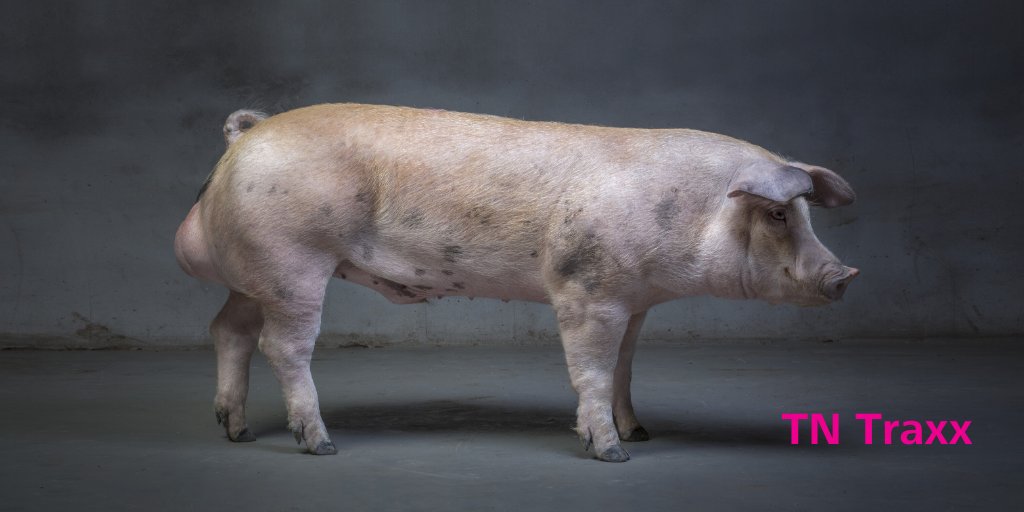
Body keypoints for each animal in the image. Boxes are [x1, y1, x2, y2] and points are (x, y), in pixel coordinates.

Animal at [174, 103, 858, 462]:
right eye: (778, 214)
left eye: (803, 212)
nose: (845, 275)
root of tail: (246, 134)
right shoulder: (586, 291)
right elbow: (591, 370)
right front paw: (613, 452)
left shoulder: (635, 301)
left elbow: (624, 369)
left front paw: (641, 432)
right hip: (291, 260)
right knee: (283, 346)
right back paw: (320, 445)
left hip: (253, 274)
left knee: (227, 328)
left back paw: (234, 430)